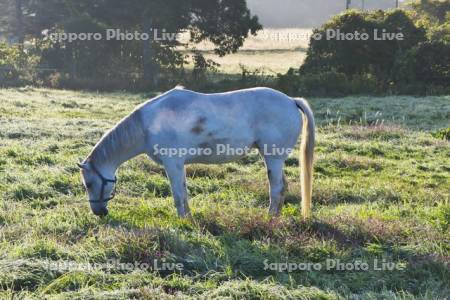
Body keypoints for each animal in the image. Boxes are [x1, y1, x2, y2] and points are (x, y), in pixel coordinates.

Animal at [77, 86, 314, 218]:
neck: (147, 125)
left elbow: (178, 195)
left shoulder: (173, 164)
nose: (99, 213)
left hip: (273, 158)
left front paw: (184, 220)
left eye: (89, 183)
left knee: (277, 189)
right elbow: (182, 193)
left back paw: (269, 218)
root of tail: (291, 100)